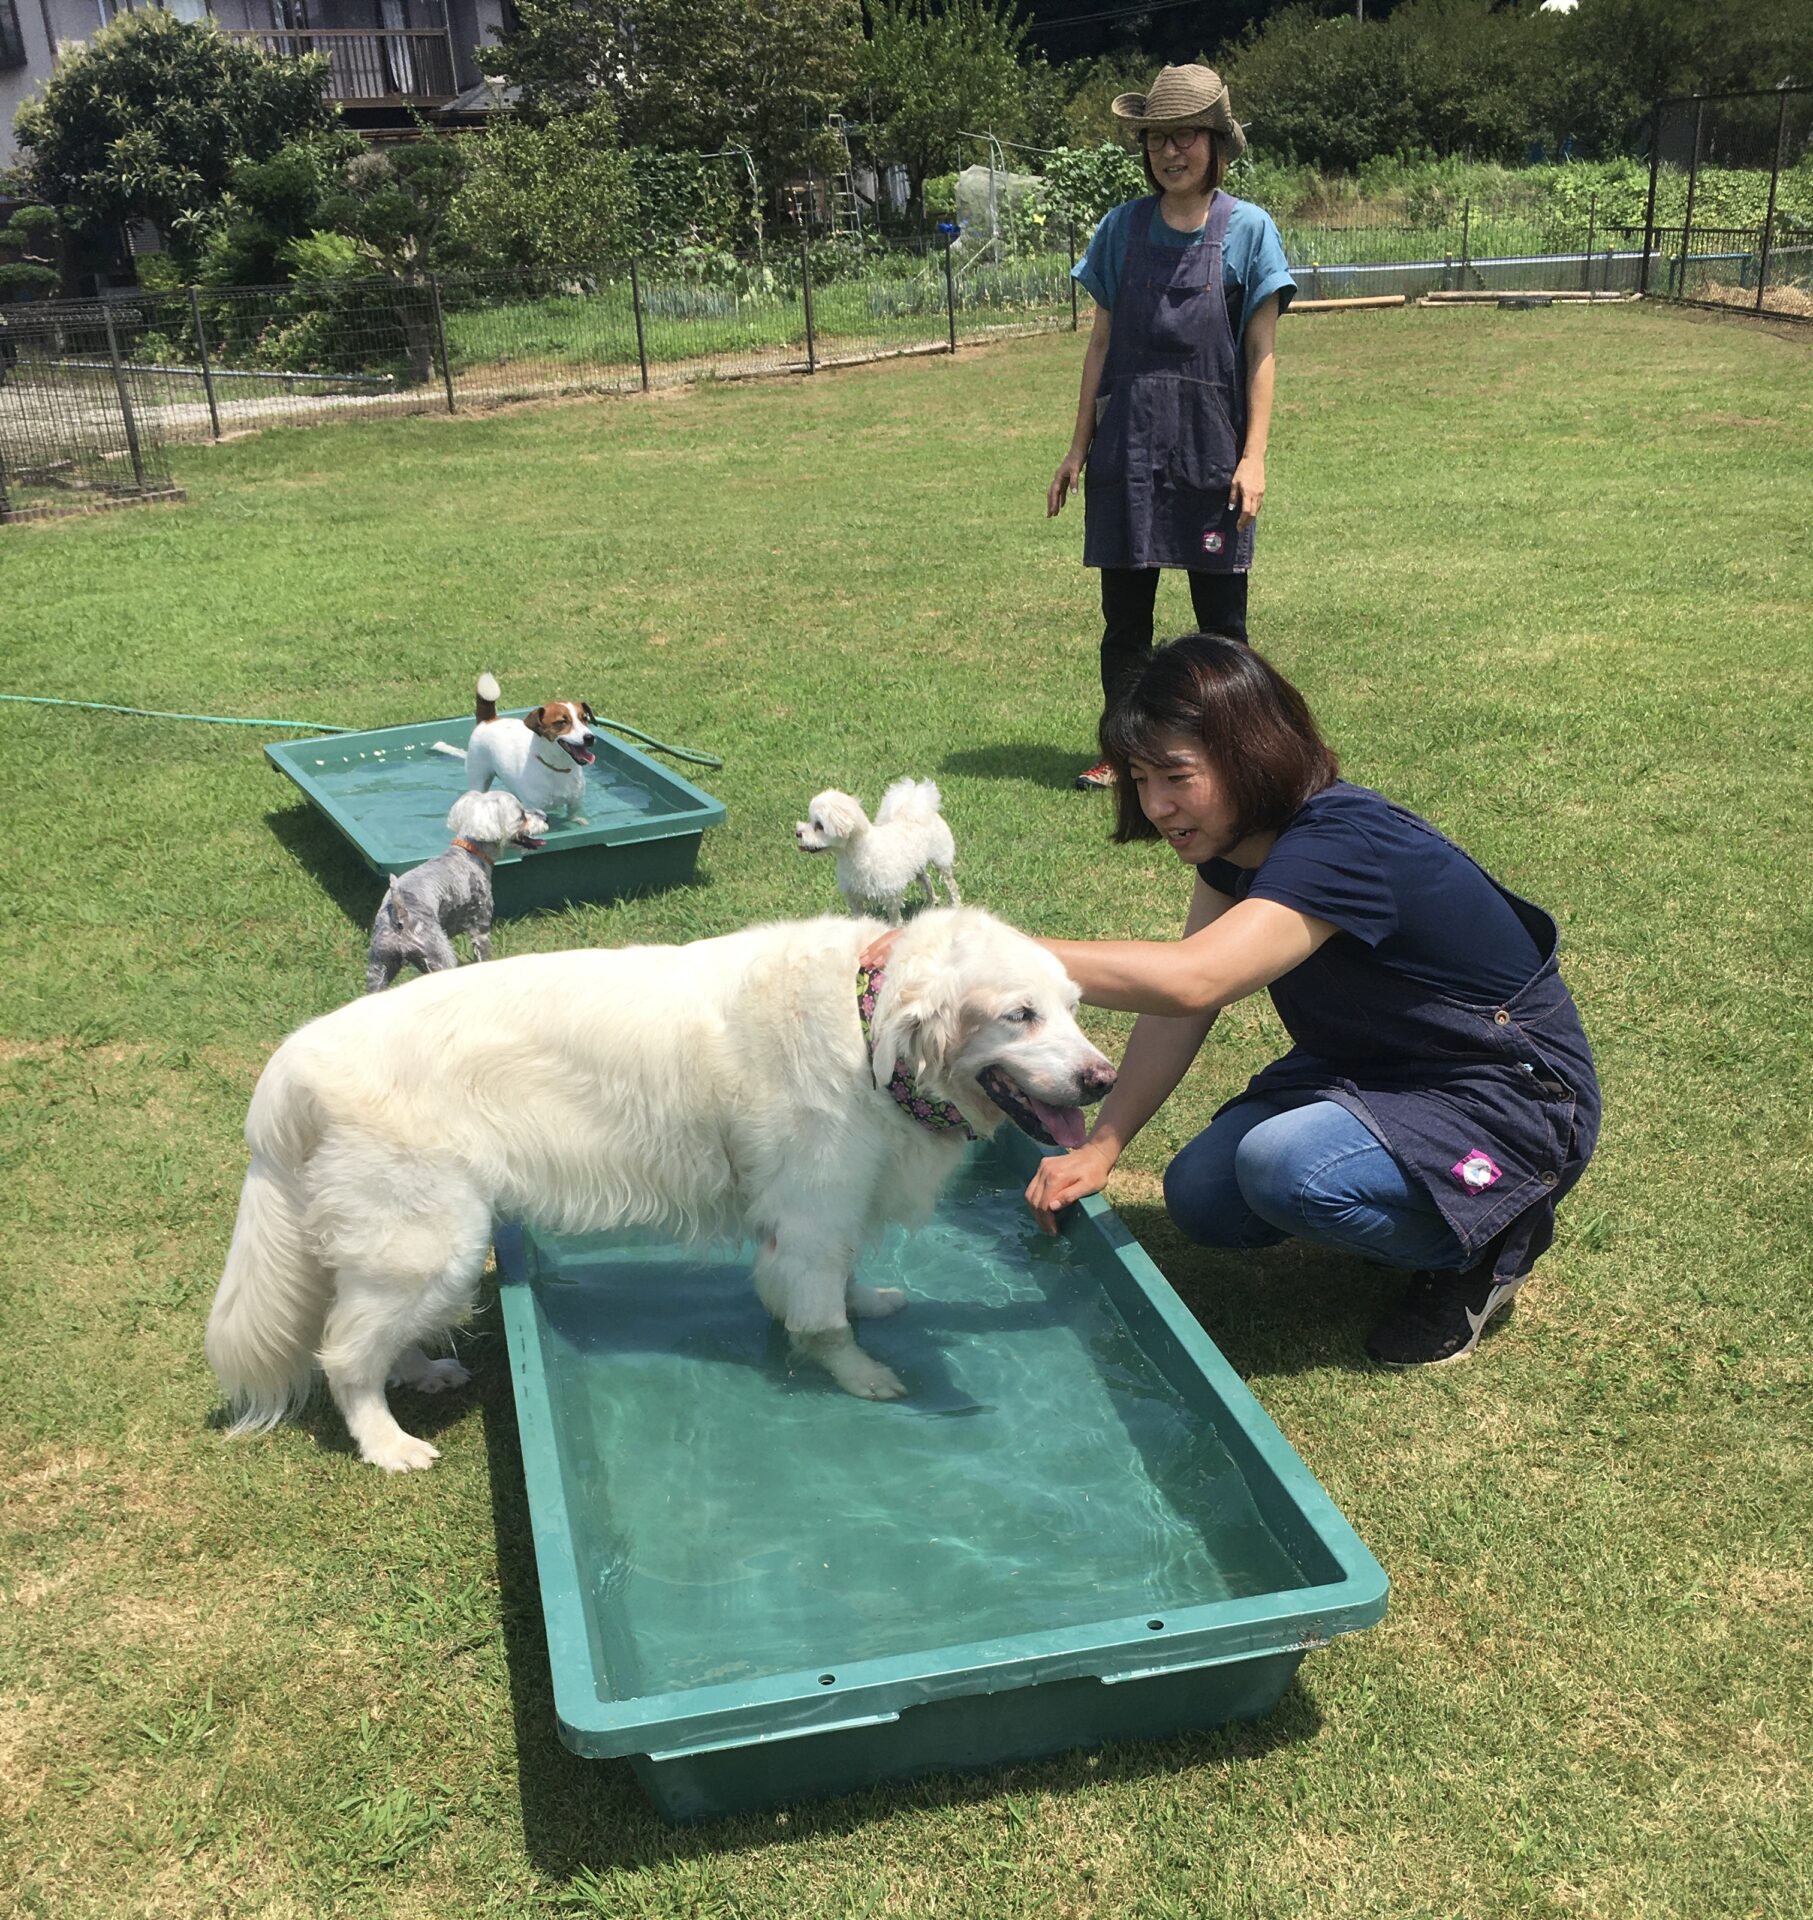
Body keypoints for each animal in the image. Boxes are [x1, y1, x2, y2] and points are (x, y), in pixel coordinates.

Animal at [206, 907, 1115, 1470]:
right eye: (1019, 1015)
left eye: (1073, 1007)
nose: (1100, 1079)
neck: (868, 1026)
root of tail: (290, 1062)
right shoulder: (810, 1212)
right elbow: (819, 1316)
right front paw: (857, 1372)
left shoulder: (833, 1205)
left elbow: (845, 1277)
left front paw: (870, 1304)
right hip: (432, 1240)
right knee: (342, 1354)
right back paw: (387, 1443)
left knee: (366, 1334)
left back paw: (421, 1371)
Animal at [365, 790, 548, 994]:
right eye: (521, 815)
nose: (545, 816)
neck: (470, 854)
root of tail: (400, 917)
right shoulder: (480, 929)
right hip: (441, 957)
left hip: (379, 967)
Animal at [463, 671, 598, 817]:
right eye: (562, 722)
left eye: (584, 718)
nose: (589, 737)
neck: (558, 768)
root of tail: (489, 720)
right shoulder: (534, 808)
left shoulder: (575, 804)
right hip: (478, 777)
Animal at [795, 778, 961, 923]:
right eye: (810, 820)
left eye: (819, 826)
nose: (798, 833)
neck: (857, 856)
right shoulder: (854, 898)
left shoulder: (891, 896)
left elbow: (894, 920)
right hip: (916, 866)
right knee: (927, 880)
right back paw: (932, 902)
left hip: (941, 861)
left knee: (951, 885)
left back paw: (955, 906)